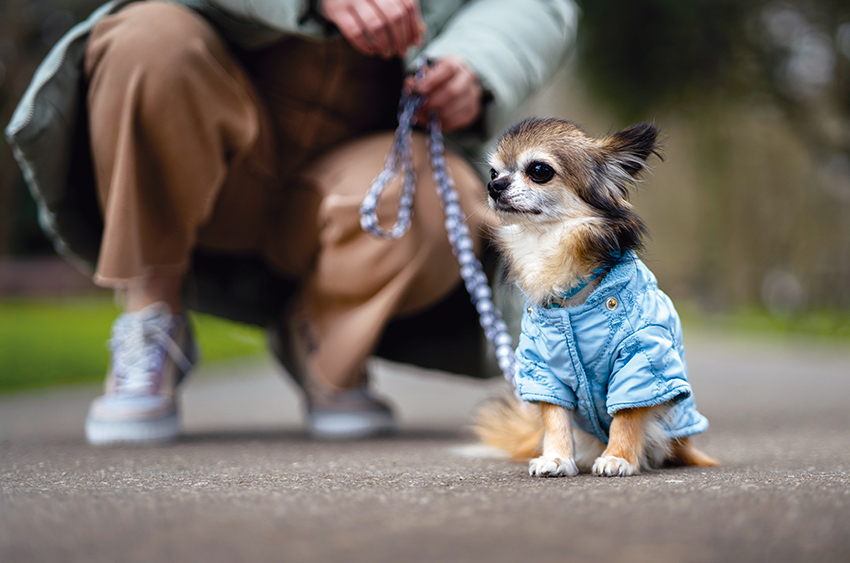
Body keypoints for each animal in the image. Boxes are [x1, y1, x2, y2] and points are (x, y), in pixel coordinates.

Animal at [476, 118, 716, 476]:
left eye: (539, 170)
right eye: (493, 172)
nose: (493, 186)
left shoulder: (638, 358)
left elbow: (627, 413)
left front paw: (619, 457)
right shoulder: (544, 368)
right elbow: (554, 416)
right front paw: (556, 457)